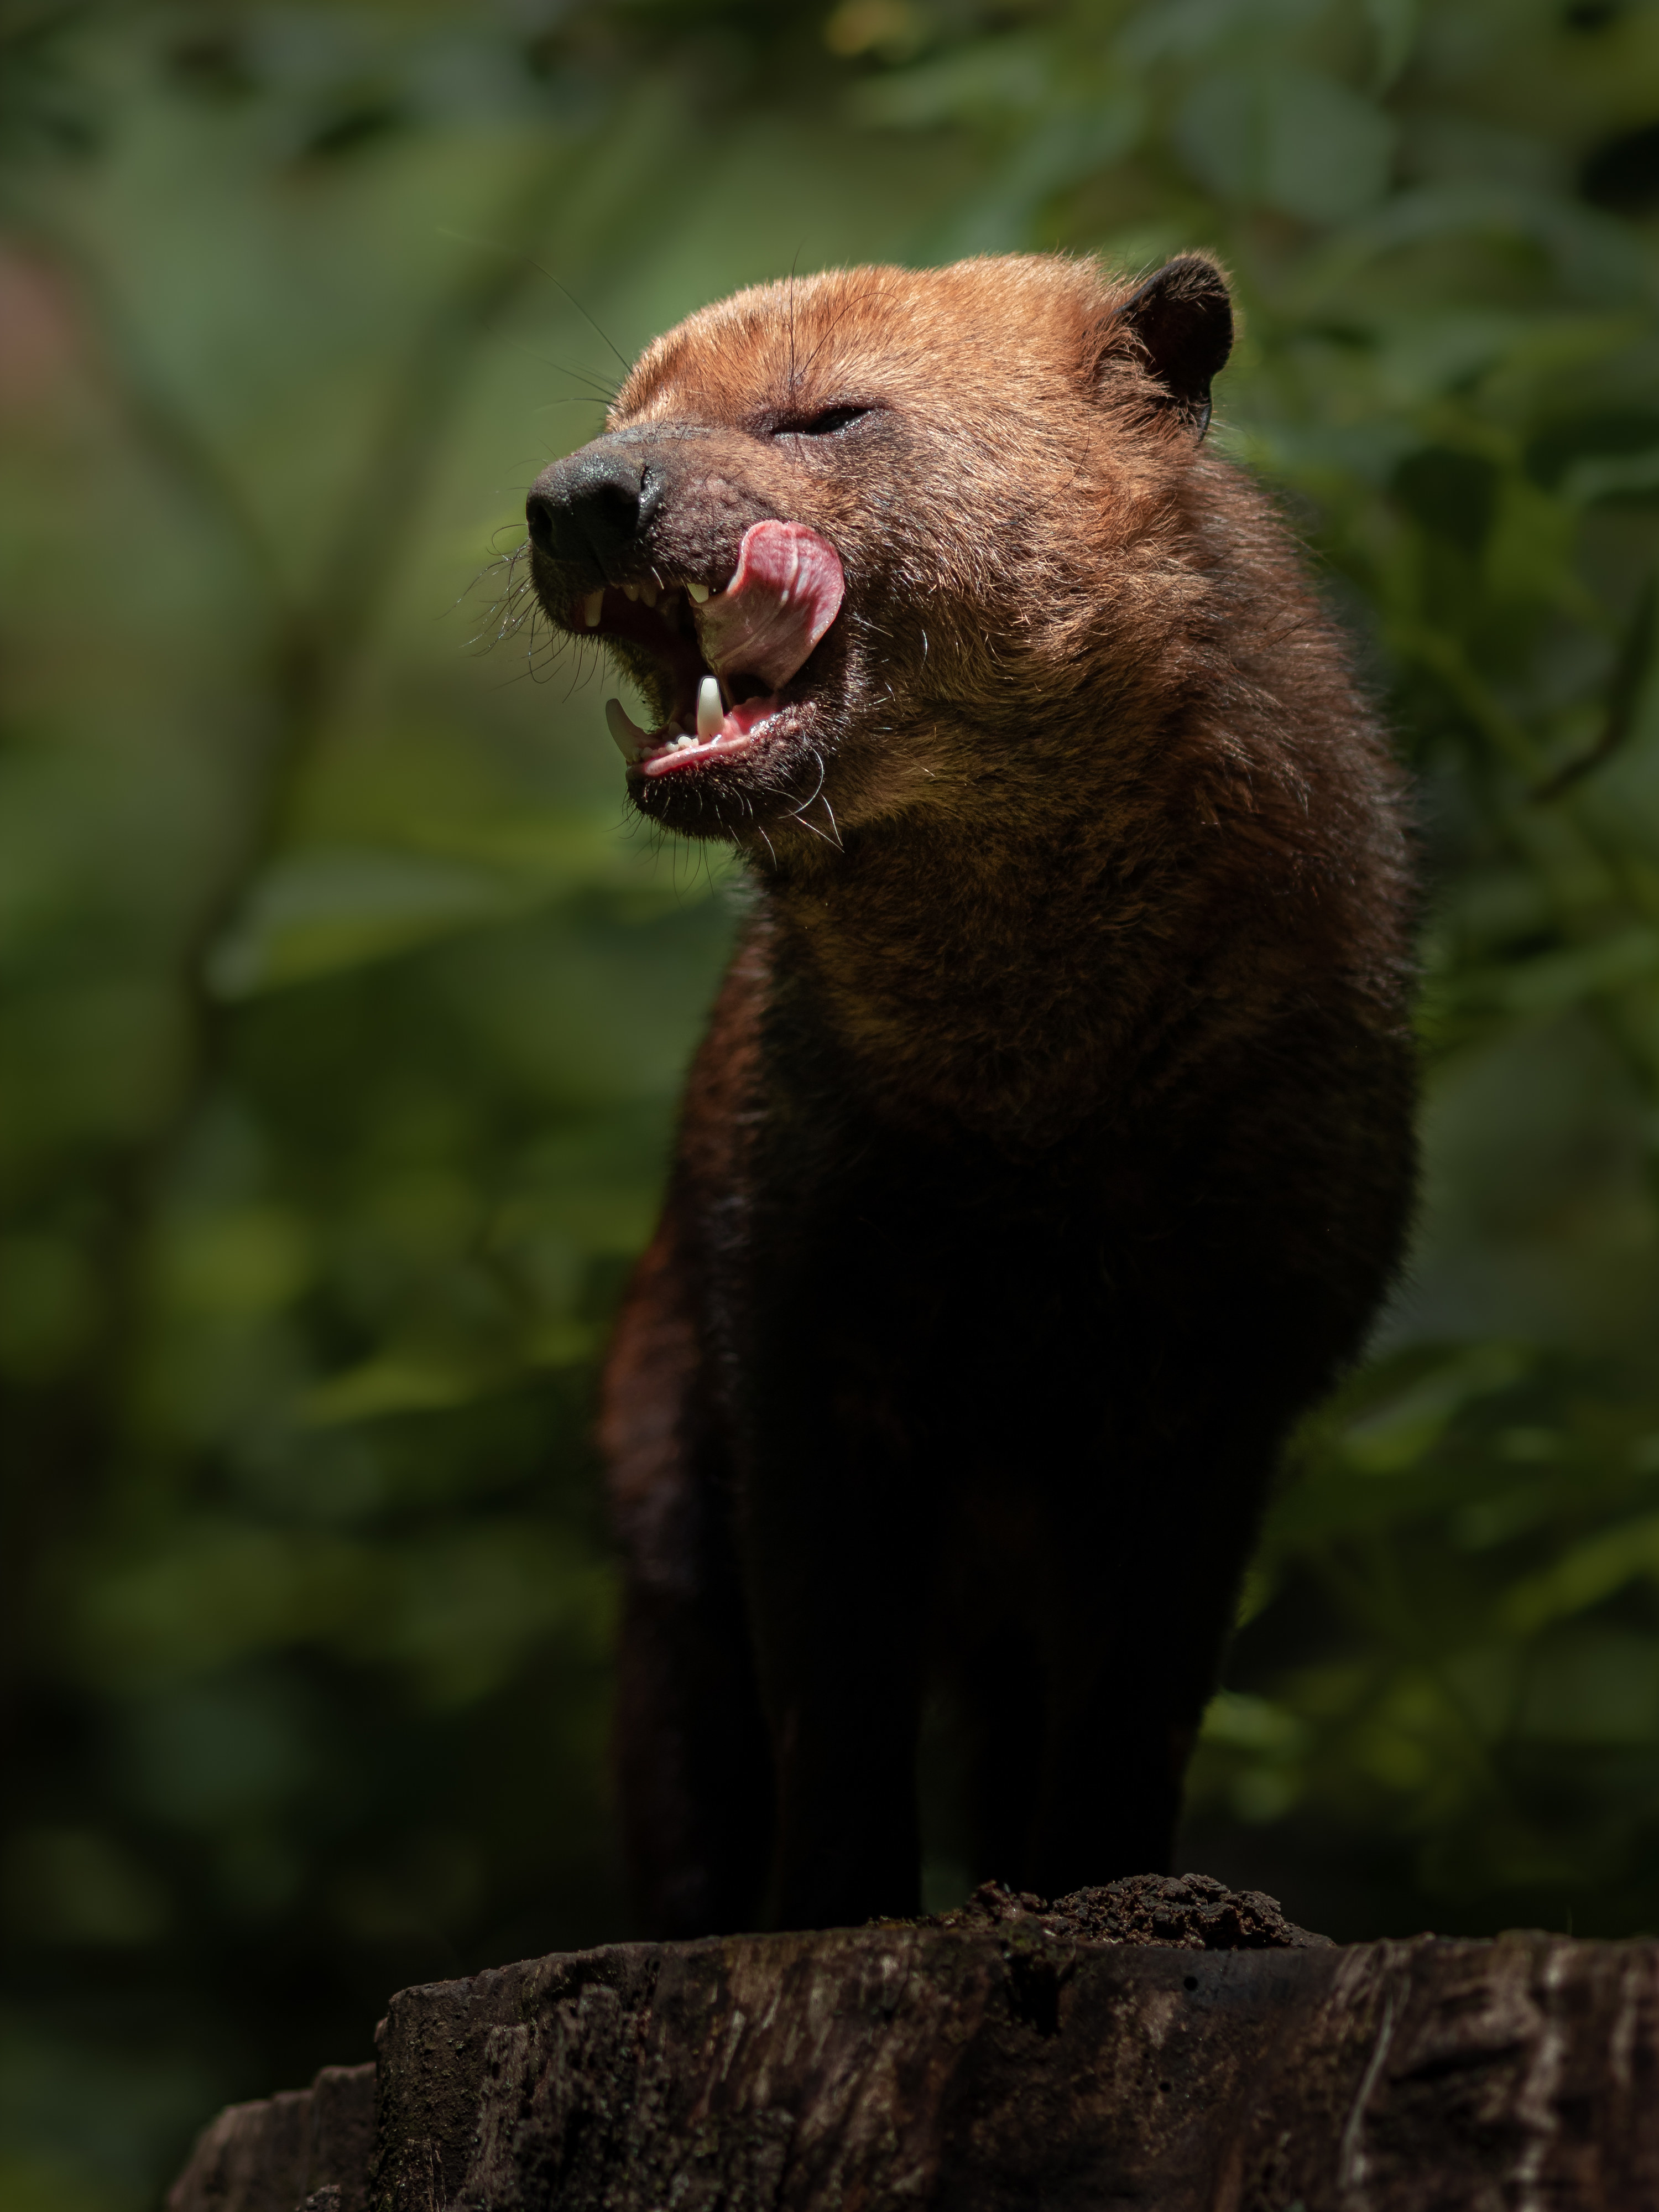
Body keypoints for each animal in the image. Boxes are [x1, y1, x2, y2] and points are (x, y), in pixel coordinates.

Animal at [529, 246, 1416, 1938]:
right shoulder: (801, 1348)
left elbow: (1136, 1715)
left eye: (825, 414)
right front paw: (838, 1918)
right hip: (666, 1563)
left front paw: (1113, 1901)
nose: (571, 498)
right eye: (622, 412)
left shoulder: (1220, 1382)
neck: (1028, 1083)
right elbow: (837, 1707)